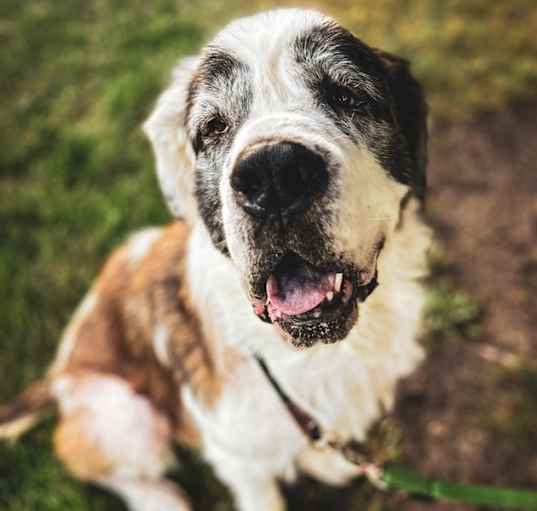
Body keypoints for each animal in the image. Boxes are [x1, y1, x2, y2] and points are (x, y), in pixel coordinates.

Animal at [0, 9, 432, 511]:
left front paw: (323, 460)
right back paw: (162, 498)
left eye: (347, 96)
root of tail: (56, 373)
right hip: (122, 412)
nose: (274, 173)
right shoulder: (237, 455)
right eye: (214, 127)